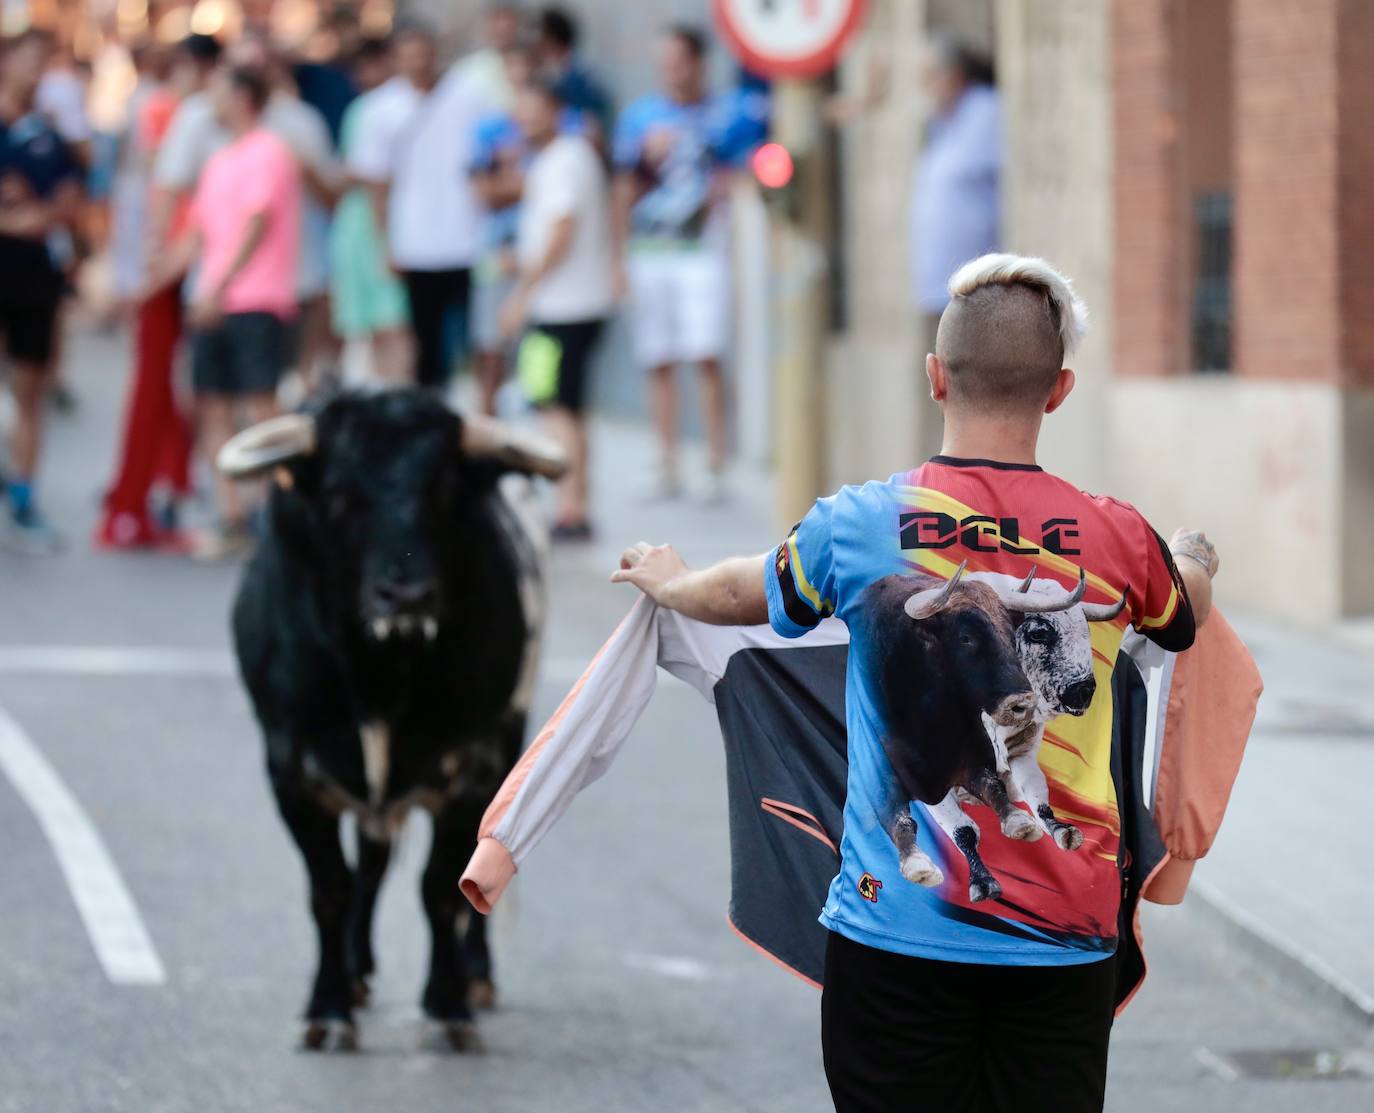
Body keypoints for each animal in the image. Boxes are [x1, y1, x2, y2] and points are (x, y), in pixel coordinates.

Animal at [223, 392, 563, 1049]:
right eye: (338, 492)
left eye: (445, 488)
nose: (406, 596)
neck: (377, 680)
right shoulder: (290, 770)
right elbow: (331, 888)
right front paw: (328, 1006)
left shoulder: (474, 767)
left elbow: (444, 888)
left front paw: (448, 1004)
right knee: (371, 864)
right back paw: (357, 971)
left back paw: (475, 976)